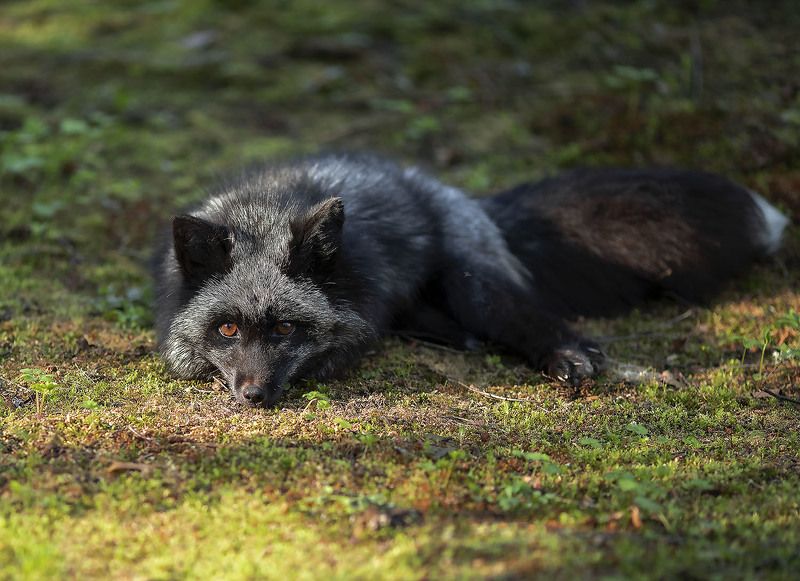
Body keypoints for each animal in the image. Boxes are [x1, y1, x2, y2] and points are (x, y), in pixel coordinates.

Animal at [154, 153, 789, 407]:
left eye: (286, 328)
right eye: (227, 329)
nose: (253, 396)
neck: (265, 209)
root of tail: (454, 193)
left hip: (473, 283)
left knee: (529, 316)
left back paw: (567, 356)